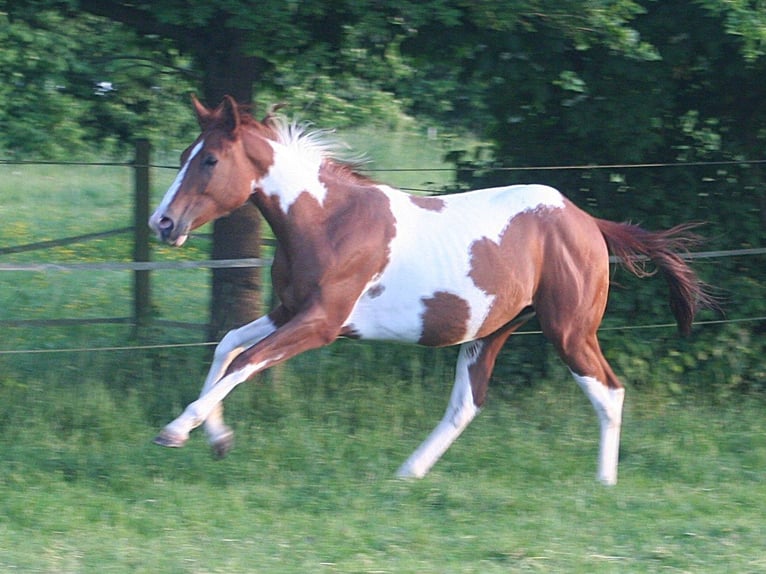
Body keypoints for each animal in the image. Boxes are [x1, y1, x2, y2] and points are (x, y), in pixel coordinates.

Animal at [149, 95, 713, 485]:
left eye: (210, 160)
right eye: (184, 154)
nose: (162, 223)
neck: (327, 220)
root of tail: (588, 222)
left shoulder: (321, 322)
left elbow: (246, 360)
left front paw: (176, 431)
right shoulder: (288, 310)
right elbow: (227, 346)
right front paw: (218, 439)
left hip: (569, 329)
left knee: (609, 391)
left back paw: (603, 482)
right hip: (492, 331)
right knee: (467, 404)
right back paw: (408, 474)